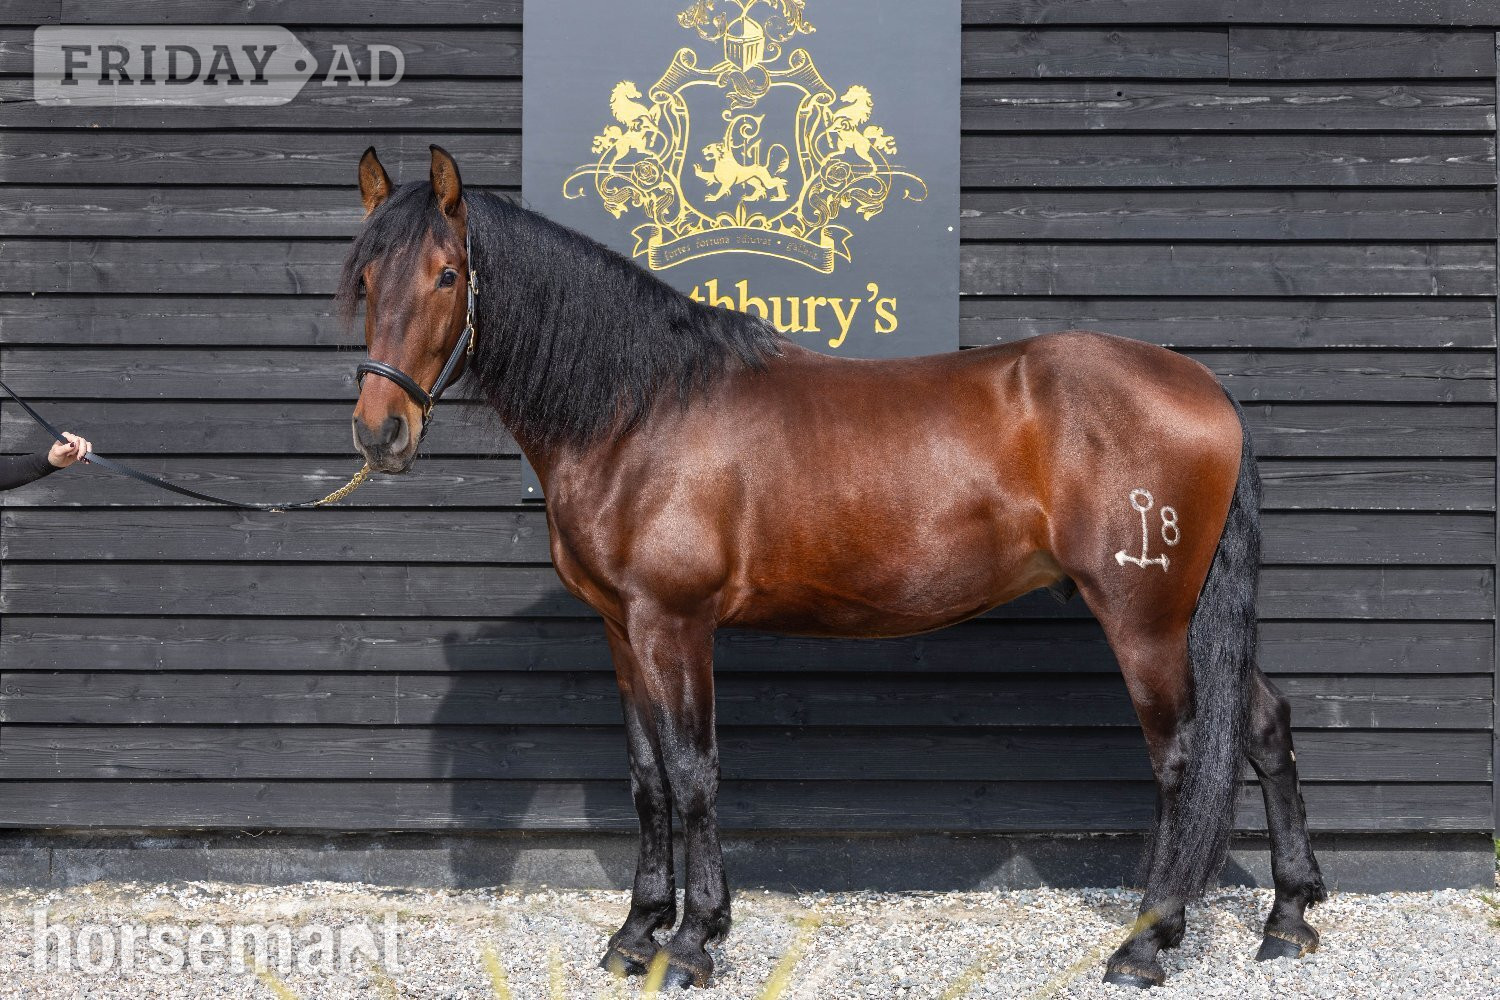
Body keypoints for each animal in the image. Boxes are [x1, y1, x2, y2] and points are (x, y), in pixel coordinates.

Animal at [342, 145, 1326, 990]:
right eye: (365, 279)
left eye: (448, 274)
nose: (379, 433)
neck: (640, 412)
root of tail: (1204, 387)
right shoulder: (624, 627)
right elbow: (646, 777)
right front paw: (635, 934)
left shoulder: (676, 622)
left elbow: (691, 771)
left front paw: (693, 942)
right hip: (1190, 616)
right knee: (1264, 724)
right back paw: (1288, 921)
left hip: (1145, 618)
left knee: (1181, 756)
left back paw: (1147, 941)